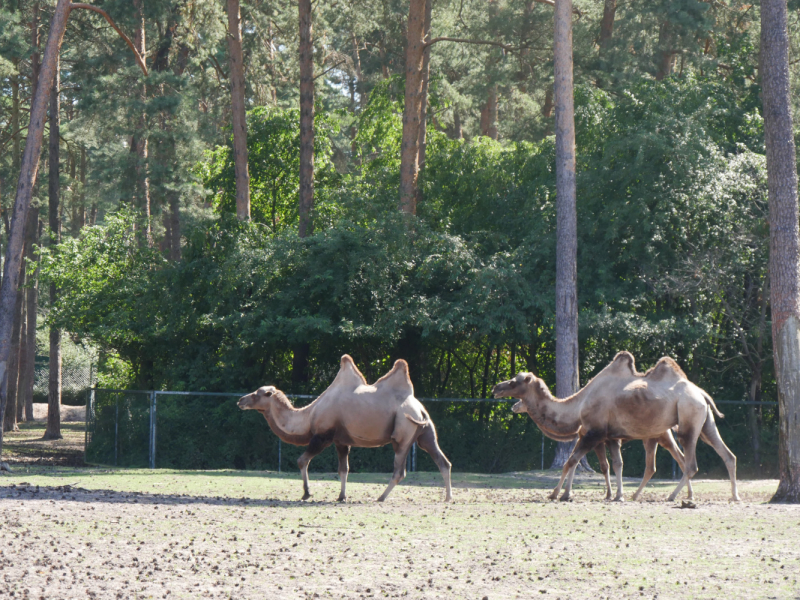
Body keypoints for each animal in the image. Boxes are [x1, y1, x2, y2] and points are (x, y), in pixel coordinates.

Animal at [236, 356, 450, 502]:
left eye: (258, 393)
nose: (240, 400)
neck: (310, 415)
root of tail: (419, 409)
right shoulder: (341, 441)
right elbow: (343, 469)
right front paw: (341, 496)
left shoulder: (323, 436)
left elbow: (301, 460)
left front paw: (306, 493)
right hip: (425, 433)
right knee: (443, 461)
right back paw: (448, 497)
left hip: (403, 431)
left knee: (399, 470)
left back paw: (381, 497)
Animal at [490, 350, 740, 504]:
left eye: (514, 382)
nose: (496, 388)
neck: (579, 405)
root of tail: (702, 394)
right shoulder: (609, 436)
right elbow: (614, 464)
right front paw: (615, 495)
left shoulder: (594, 433)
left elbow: (571, 461)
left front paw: (556, 494)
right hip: (702, 422)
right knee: (727, 455)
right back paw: (732, 496)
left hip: (686, 419)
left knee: (689, 463)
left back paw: (670, 496)